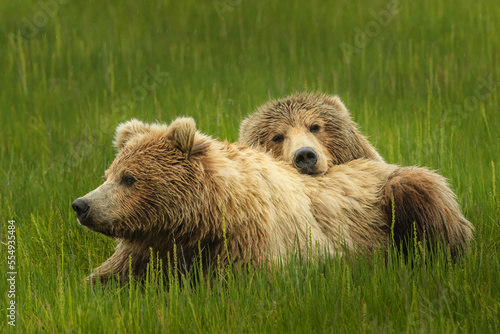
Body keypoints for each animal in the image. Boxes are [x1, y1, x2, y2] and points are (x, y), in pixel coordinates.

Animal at [70, 117, 454, 284]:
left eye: (129, 178)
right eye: (108, 175)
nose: (82, 205)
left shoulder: (253, 240)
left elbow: (241, 282)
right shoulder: (150, 246)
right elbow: (106, 277)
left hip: (397, 192)